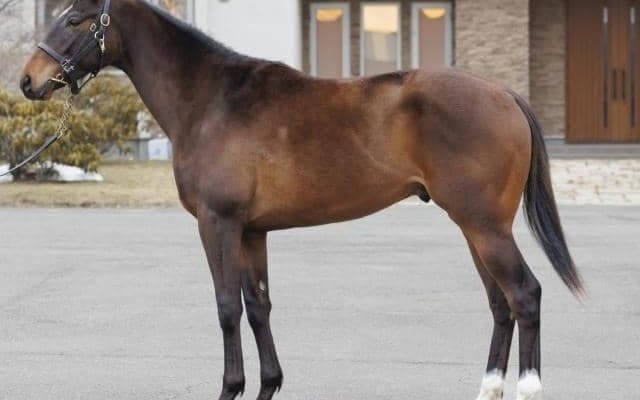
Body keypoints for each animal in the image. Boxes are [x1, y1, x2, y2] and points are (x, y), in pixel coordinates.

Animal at [20, 1, 583, 399]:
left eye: (73, 19)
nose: (28, 81)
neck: (212, 101)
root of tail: (504, 94)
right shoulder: (252, 231)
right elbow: (258, 306)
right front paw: (268, 384)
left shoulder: (218, 224)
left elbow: (227, 307)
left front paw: (231, 388)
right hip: (475, 227)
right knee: (501, 304)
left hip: (485, 226)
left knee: (525, 294)